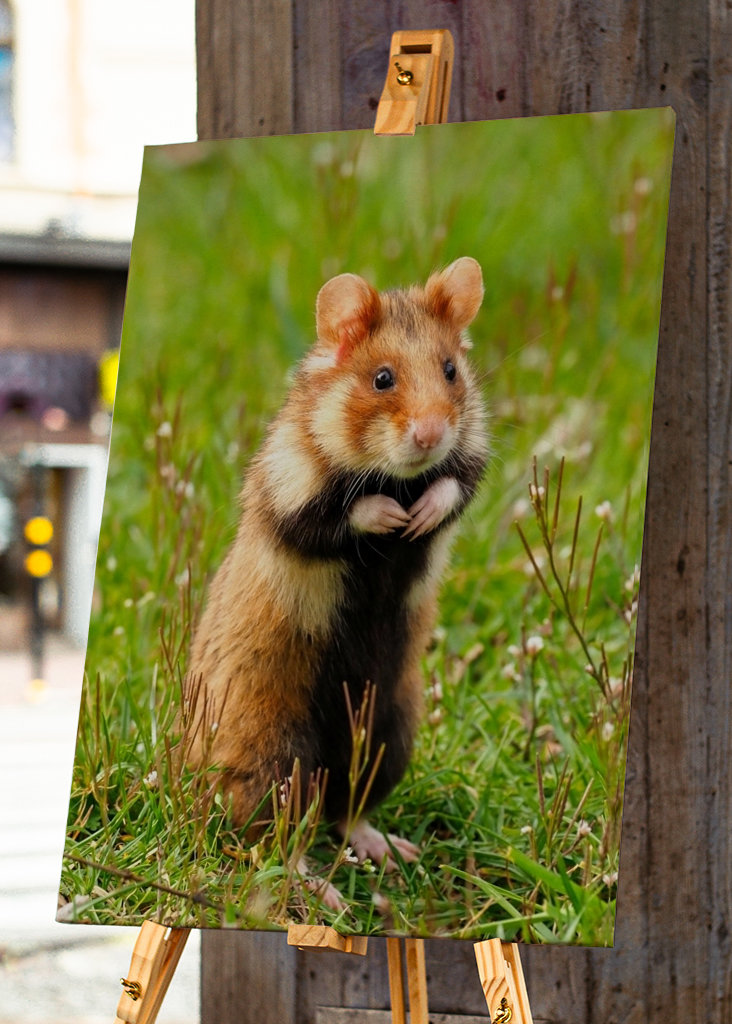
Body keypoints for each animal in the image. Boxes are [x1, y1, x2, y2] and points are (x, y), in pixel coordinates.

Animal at [186, 256, 488, 883]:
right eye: (382, 379)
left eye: (450, 370)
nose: (430, 434)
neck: (396, 474)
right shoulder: (285, 494)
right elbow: (339, 514)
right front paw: (392, 515)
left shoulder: (470, 458)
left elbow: (455, 486)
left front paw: (418, 518)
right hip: (273, 754)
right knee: (276, 838)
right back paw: (321, 888)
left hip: (387, 732)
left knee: (346, 811)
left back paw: (392, 852)